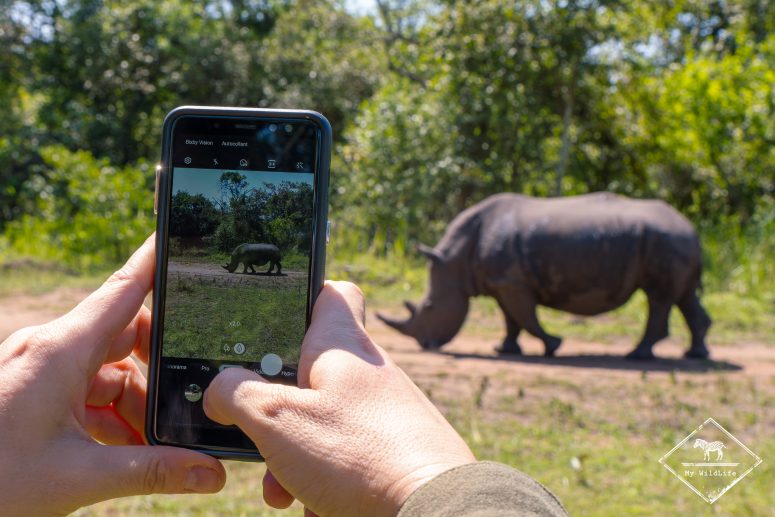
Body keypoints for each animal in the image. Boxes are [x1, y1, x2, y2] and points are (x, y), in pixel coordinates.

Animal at [377, 193, 711, 360]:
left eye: (430, 307)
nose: (425, 344)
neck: (455, 260)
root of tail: (692, 229)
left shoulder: (512, 283)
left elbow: (526, 317)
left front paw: (553, 345)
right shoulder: (503, 284)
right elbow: (511, 320)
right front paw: (505, 350)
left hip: (666, 240)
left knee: (659, 298)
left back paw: (637, 356)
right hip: (673, 241)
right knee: (684, 297)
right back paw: (694, 354)